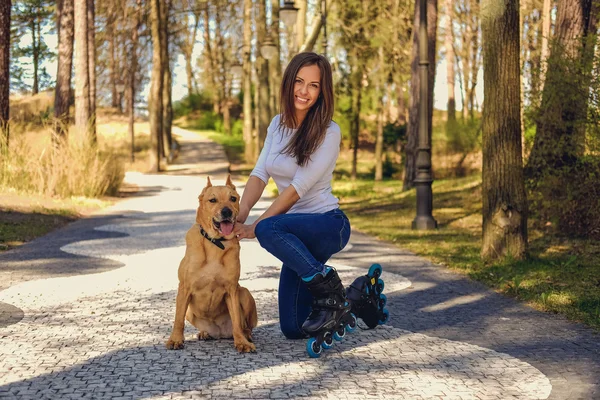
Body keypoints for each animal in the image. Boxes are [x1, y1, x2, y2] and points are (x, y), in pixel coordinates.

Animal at [165, 175, 256, 354]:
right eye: (212, 200)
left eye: (233, 199)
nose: (226, 211)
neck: (215, 243)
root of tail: (219, 332)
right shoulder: (184, 289)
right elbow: (178, 319)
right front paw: (175, 339)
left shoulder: (232, 290)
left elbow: (237, 320)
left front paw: (241, 342)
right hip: (191, 312)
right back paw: (204, 333)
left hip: (244, 293)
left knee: (245, 325)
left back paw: (245, 335)